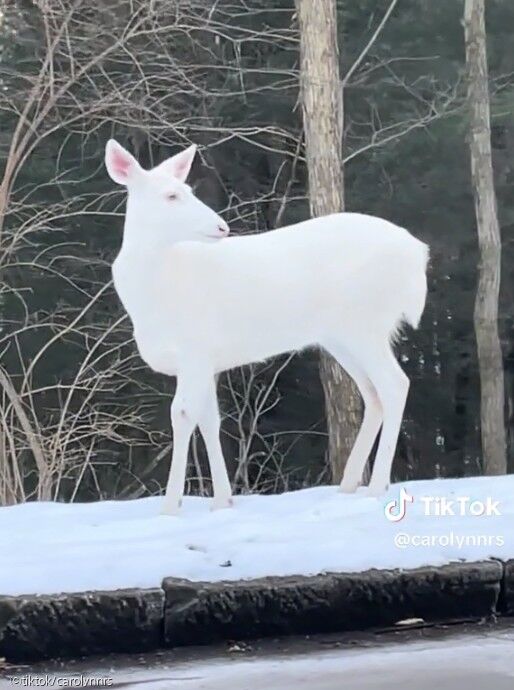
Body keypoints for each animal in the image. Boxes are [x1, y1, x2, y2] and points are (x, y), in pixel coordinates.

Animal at [105, 138, 428, 510]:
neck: (156, 292)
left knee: (395, 384)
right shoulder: (208, 359)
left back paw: (375, 487)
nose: (221, 227)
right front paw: (222, 501)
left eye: (188, 190)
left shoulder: (195, 349)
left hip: (365, 322)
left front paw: (171, 507)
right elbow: (210, 419)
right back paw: (348, 485)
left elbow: (183, 415)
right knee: (373, 393)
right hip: (342, 335)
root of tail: (418, 254)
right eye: (171, 195)